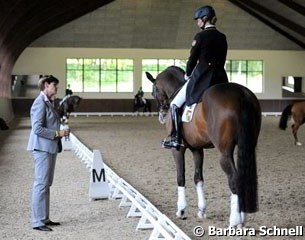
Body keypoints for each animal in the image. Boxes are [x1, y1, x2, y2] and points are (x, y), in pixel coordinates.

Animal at [144, 65, 258, 227]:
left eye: (154, 91)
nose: (161, 115)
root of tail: (242, 95)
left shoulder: (177, 149)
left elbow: (180, 177)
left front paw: (181, 210)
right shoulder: (197, 149)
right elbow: (198, 178)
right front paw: (201, 210)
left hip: (224, 153)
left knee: (234, 179)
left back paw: (235, 221)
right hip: (248, 147)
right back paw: (242, 219)